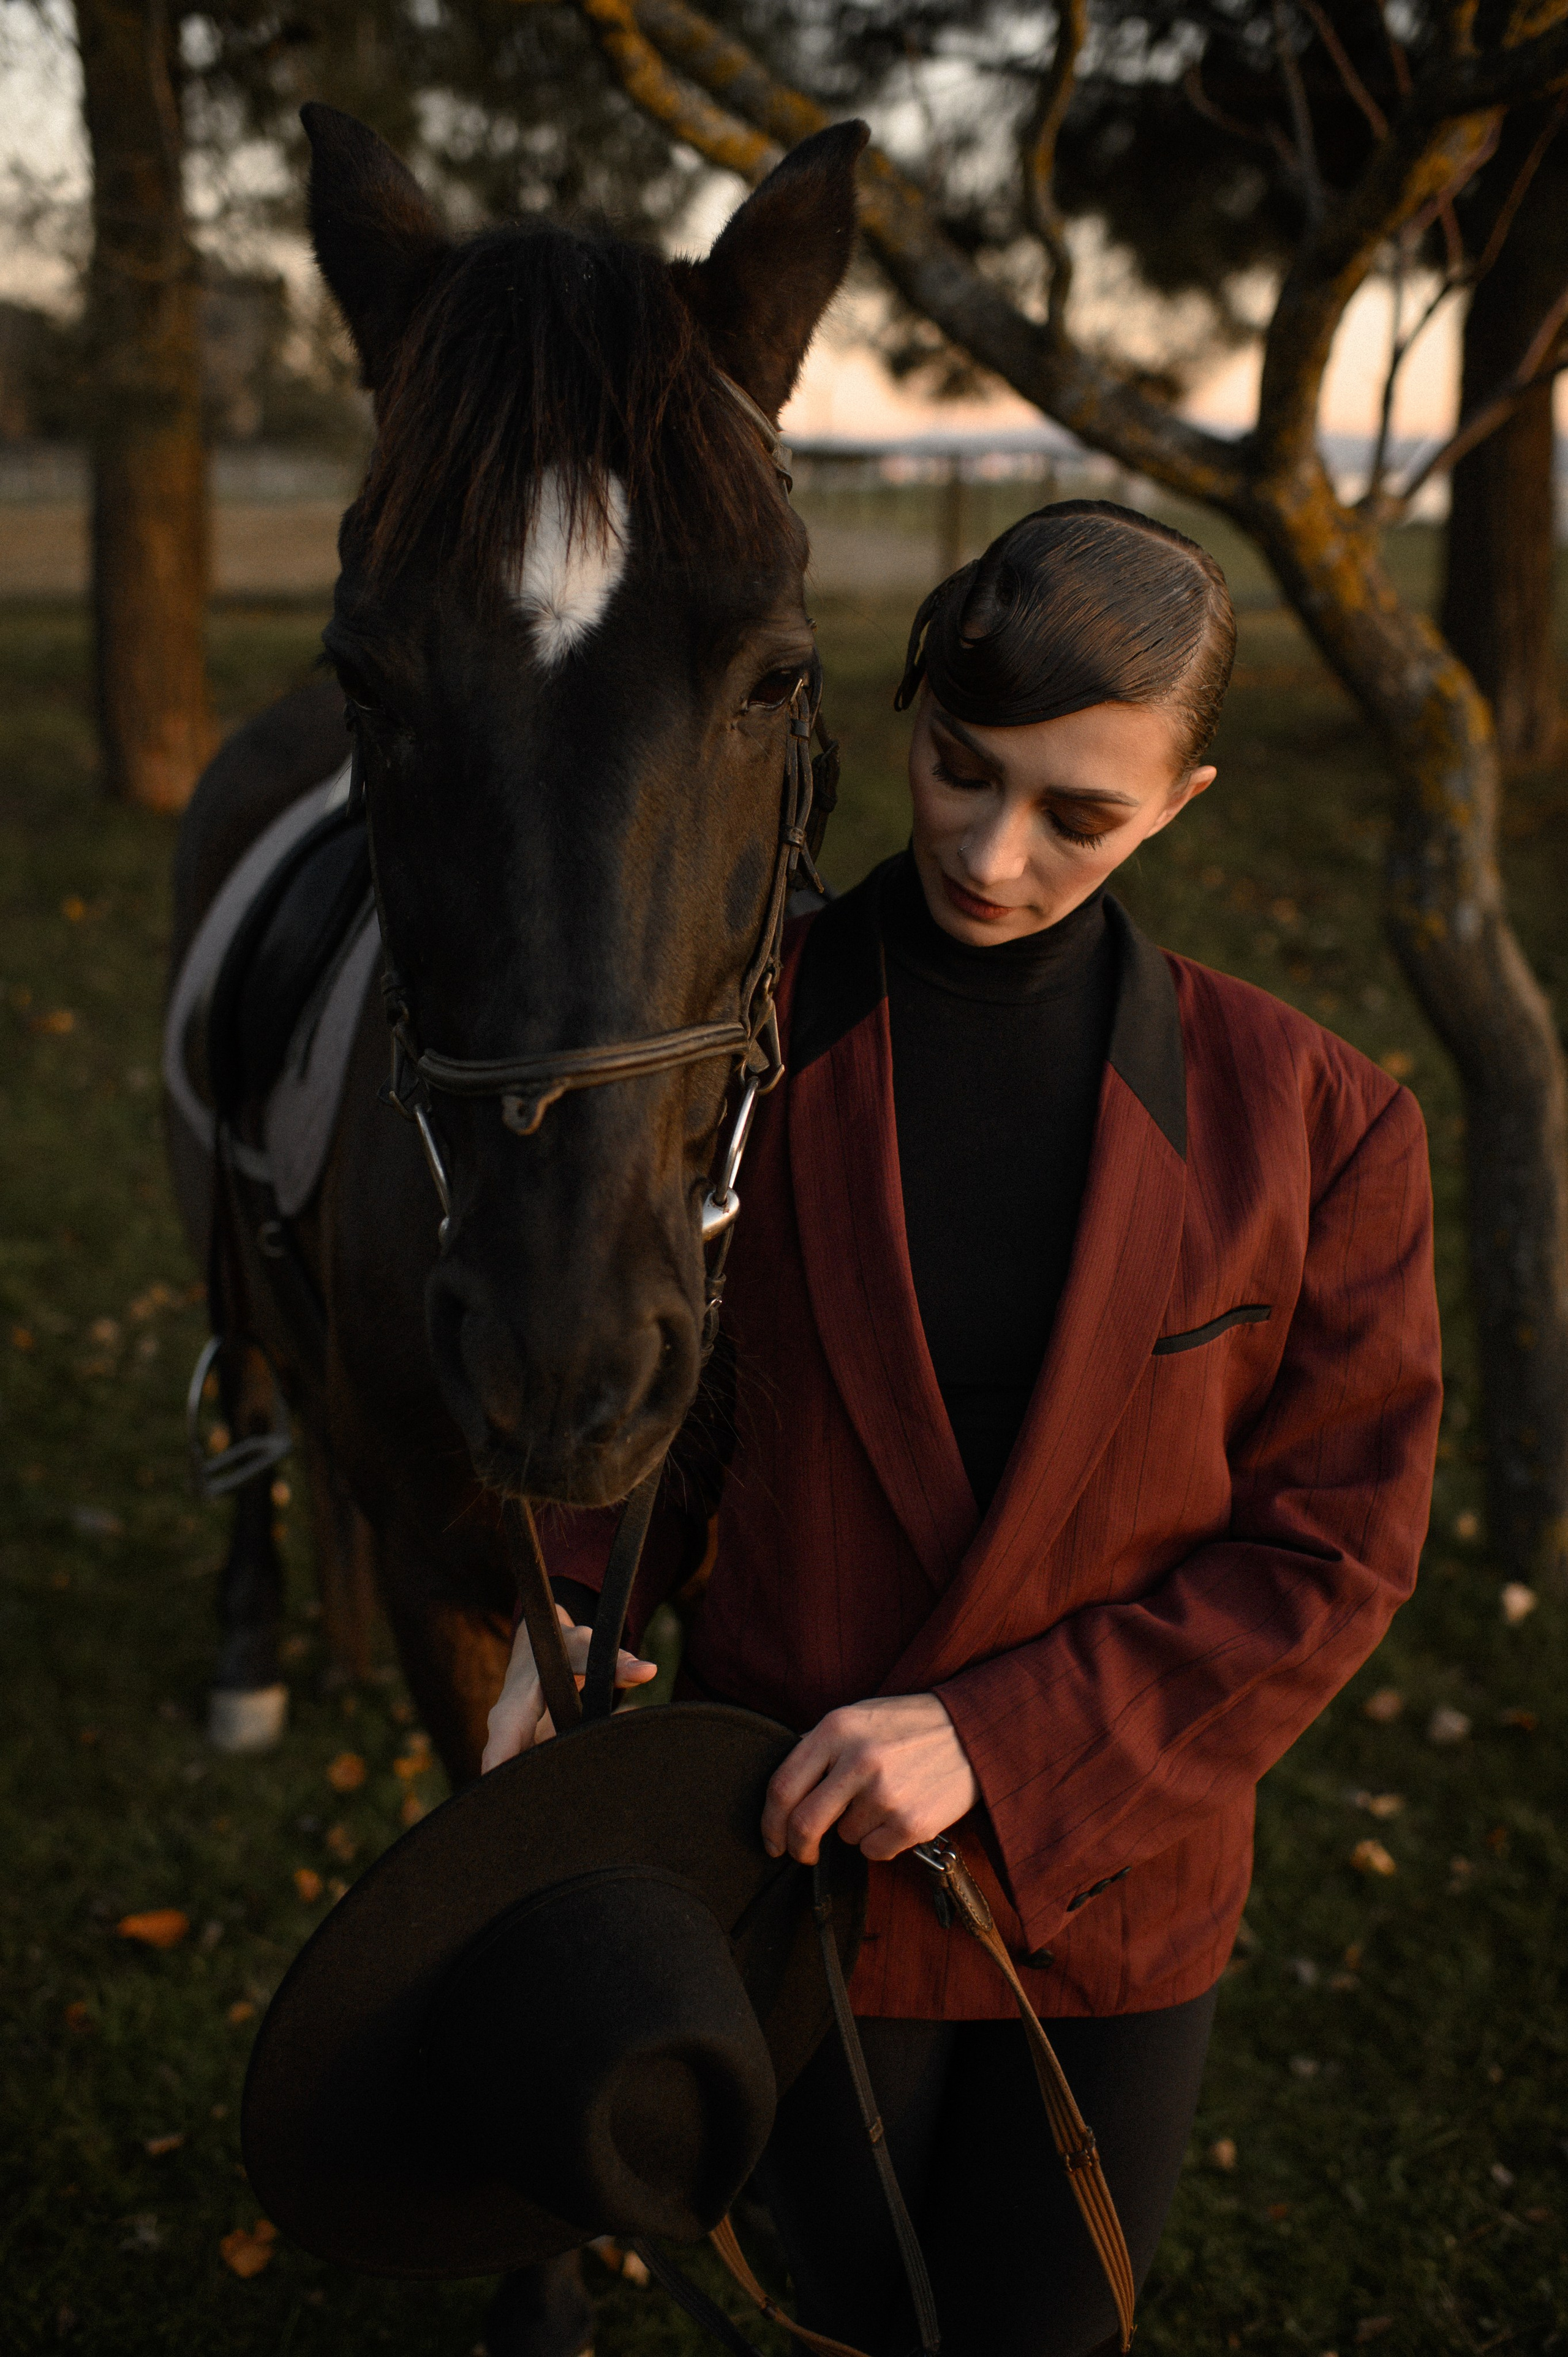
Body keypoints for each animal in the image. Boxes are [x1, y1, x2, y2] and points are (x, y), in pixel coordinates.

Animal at [165, 101, 866, 2355]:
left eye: (779, 675)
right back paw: (246, 1640)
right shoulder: (443, 1574)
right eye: (368, 674)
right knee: (250, 1414)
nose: (566, 1365)